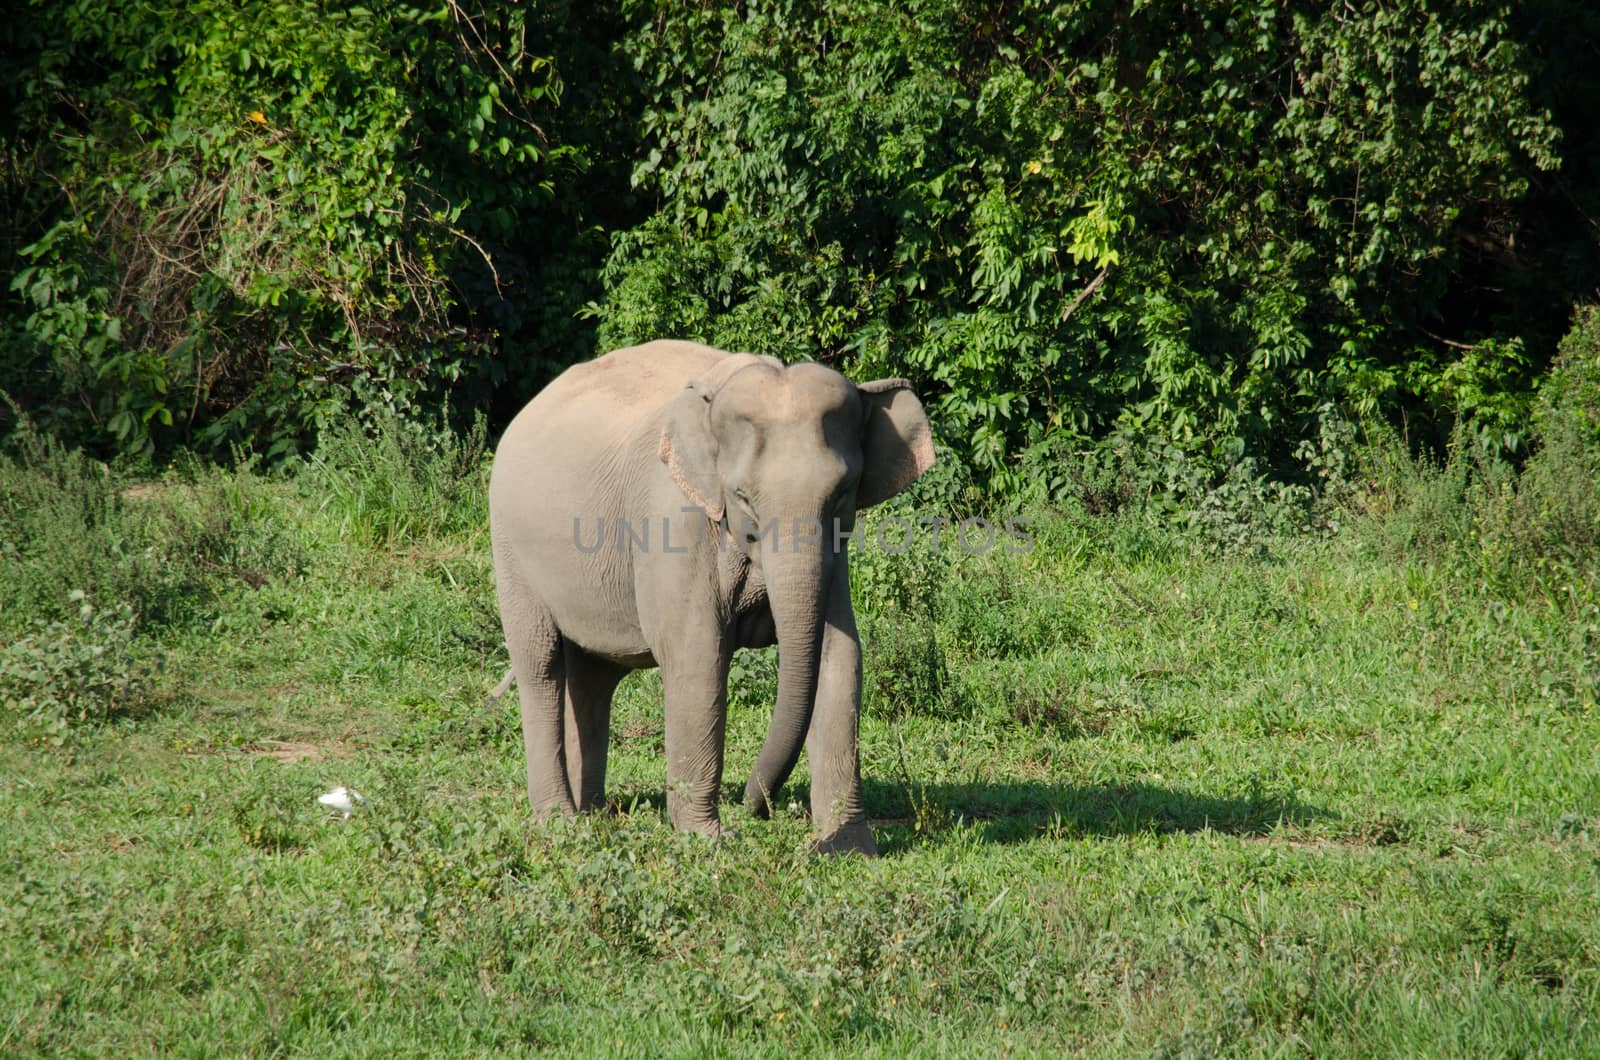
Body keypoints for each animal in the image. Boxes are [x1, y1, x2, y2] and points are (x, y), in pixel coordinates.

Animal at [489, 341, 934, 858]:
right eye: (742, 497)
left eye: (842, 492)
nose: (756, 807)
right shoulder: (671, 525)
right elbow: (698, 657)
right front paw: (708, 841)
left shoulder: (835, 553)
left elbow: (840, 655)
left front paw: (847, 848)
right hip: (511, 552)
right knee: (540, 666)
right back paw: (560, 822)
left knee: (594, 678)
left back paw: (593, 814)